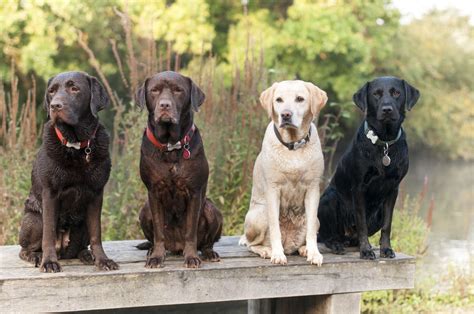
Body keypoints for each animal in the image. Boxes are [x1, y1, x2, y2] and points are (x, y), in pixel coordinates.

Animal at [18, 71, 118, 272]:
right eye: (51, 91)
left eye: (75, 88)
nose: (55, 105)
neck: (76, 145)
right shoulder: (50, 193)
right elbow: (48, 234)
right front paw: (49, 262)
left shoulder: (96, 194)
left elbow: (97, 233)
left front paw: (102, 260)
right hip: (34, 219)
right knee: (25, 248)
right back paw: (36, 256)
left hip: (82, 224)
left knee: (80, 247)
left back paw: (87, 255)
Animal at [133, 72, 222, 270]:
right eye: (154, 90)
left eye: (178, 90)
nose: (164, 105)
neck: (170, 147)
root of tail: (175, 247)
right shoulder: (154, 192)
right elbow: (158, 232)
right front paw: (156, 257)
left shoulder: (194, 192)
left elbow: (190, 231)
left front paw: (191, 257)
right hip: (144, 210)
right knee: (153, 238)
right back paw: (152, 250)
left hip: (212, 210)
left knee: (206, 242)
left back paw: (208, 253)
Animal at [239, 80, 328, 264]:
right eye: (278, 100)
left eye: (300, 99)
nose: (286, 115)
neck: (293, 147)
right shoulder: (273, 190)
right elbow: (275, 229)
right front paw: (277, 255)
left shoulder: (313, 189)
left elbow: (311, 233)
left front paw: (314, 253)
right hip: (260, 214)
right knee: (252, 244)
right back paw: (267, 250)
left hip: (316, 220)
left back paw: (304, 249)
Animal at [318, 76, 418, 260]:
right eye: (376, 94)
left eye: (396, 93)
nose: (387, 110)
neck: (384, 142)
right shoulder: (359, 188)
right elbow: (362, 223)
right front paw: (365, 251)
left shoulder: (393, 189)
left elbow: (387, 225)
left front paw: (386, 249)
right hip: (330, 198)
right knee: (327, 236)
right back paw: (337, 244)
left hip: (377, 213)